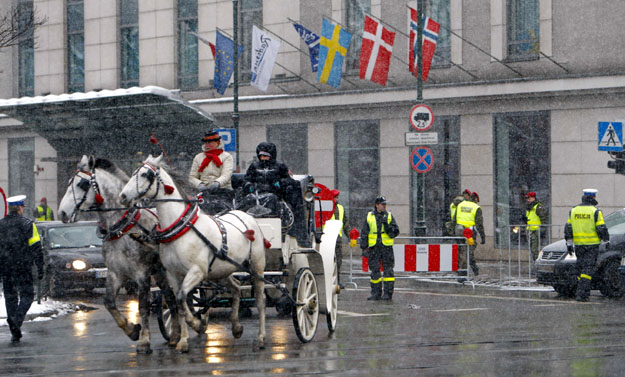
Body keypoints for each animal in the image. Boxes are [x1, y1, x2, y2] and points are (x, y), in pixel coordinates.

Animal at [58, 153, 179, 352]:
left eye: (81, 184)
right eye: (69, 182)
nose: (62, 213)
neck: (123, 229)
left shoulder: (141, 274)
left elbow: (143, 306)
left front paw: (144, 341)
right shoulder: (116, 273)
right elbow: (108, 302)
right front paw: (132, 330)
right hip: (159, 271)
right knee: (170, 297)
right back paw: (175, 336)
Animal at [118, 153, 266, 352]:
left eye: (145, 174)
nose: (123, 196)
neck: (181, 230)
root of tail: (247, 216)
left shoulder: (196, 271)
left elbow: (182, 298)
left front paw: (196, 323)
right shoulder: (174, 274)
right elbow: (179, 303)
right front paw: (183, 340)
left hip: (256, 267)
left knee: (260, 299)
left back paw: (261, 337)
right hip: (221, 271)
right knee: (235, 288)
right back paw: (236, 327)